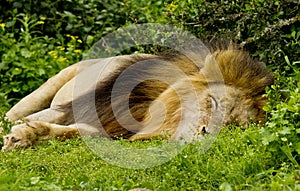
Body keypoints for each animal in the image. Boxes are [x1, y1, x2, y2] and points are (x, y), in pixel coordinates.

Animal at [0, 45, 274, 151]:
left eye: (232, 127)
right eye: (213, 102)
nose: (205, 136)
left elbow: (78, 132)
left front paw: (29, 135)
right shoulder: (71, 108)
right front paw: (18, 134)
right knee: (12, 113)